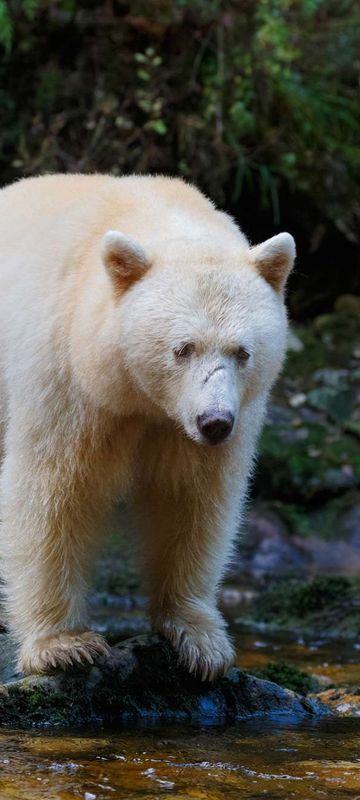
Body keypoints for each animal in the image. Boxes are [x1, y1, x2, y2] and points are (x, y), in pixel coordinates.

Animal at [0, 177, 296, 680]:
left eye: (242, 352)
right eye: (183, 348)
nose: (214, 422)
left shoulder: (200, 426)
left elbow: (192, 498)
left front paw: (199, 640)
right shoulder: (66, 380)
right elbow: (51, 492)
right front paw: (63, 645)